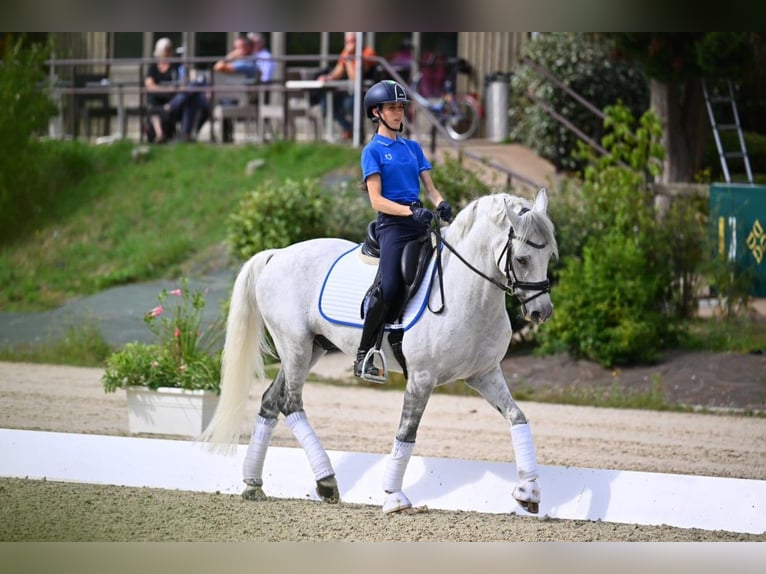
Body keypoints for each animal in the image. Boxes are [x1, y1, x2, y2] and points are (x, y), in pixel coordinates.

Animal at [200, 188, 557, 514]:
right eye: (522, 258)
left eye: (550, 256)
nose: (541, 312)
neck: (466, 292)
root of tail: (277, 254)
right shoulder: (422, 378)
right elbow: (406, 433)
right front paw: (394, 497)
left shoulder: (483, 374)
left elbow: (517, 417)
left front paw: (528, 492)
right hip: (295, 346)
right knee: (291, 403)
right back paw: (326, 481)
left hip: (311, 348)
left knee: (271, 402)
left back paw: (253, 484)